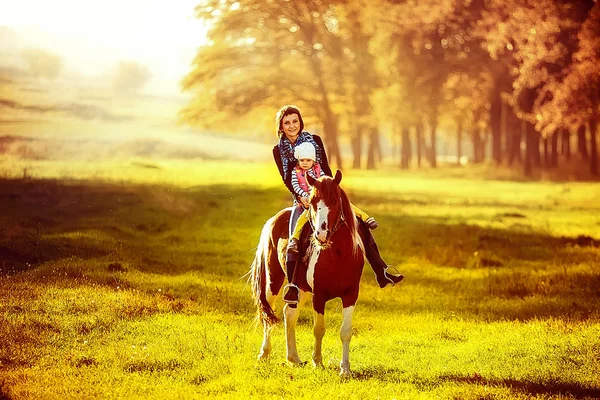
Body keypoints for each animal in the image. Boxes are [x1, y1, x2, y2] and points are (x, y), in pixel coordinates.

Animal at [247, 170, 364, 376]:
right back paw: (264, 353)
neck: (338, 255)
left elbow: (345, 331)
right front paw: (317, 362)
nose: (321, 235)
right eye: (312, 202)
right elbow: (319, 328)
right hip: (273, 280)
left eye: (335, 201)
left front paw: (345, 369)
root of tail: (274, 219)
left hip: (300, 288)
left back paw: (293, 358)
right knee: (268, 314)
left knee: (289, 314)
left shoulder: (351, 295)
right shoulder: (319, 295)